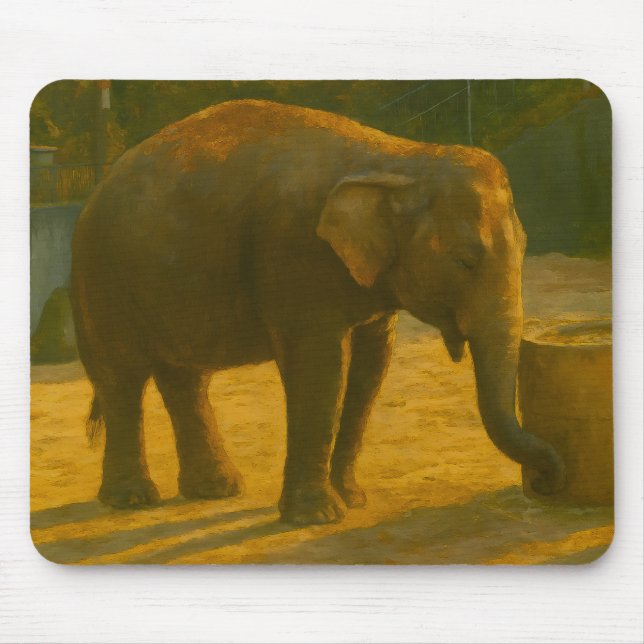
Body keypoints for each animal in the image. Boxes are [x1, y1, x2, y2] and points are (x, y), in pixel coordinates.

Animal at [71, 99, 565, 525]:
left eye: (525, 248)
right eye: (464, 261)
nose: (547, 479)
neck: (399, 158)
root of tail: (94, 193)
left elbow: (371, 368)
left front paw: (353, 500)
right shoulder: (292, 249)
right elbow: (321, 368)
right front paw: (319, 517)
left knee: (185, 379)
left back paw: (216, 490)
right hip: (101, 279)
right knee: (122, 378)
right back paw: (133, 501)